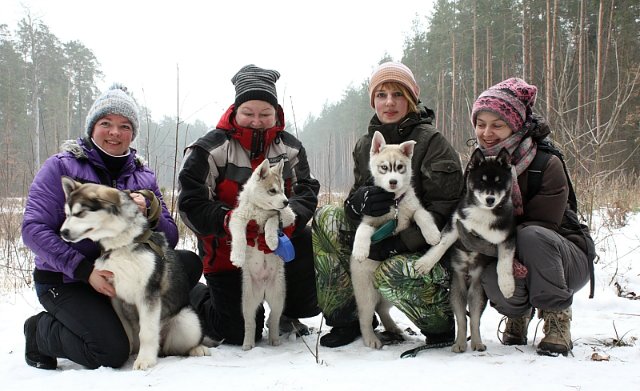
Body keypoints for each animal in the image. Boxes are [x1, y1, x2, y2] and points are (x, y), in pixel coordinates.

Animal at [228, 159, 298, 352]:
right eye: (272, 190)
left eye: (282, 189)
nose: (286, 201)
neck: (259, 210)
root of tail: (264, 290)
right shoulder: (237, 218)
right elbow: (239, 235)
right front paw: (237, 256)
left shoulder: (286, 215)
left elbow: (273, 220)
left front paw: (271, 240)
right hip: (248, 301)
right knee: (250, 322)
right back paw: (247, 343)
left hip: (278, 297)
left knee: (273, 318)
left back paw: (274, 340)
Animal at [350, 131, 444, 350]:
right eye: (384, 167)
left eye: (400, 167)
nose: (393, 182)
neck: (393, 203)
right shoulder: (369, 219)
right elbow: (362, 230)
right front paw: (360, 250)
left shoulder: (414, 208)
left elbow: (422, 215)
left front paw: (432, 234)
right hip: (366, 292)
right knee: (365, 317)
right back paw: (371, 339)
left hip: (388, 292)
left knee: (382, 309)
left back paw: (392, 327)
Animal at [416, 149, 516, 354]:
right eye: (481, 181)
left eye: (499, 182)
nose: (490, 199)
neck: (484, 214)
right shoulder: (457, 223)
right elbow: (441, 244)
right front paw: (425, 263)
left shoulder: (507, 236)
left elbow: (503, 262)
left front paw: (507, 286)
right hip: (456, 290)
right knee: (462, 319)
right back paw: (459, 343)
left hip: (477, 292)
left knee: (474, 320)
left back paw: (476, 342)